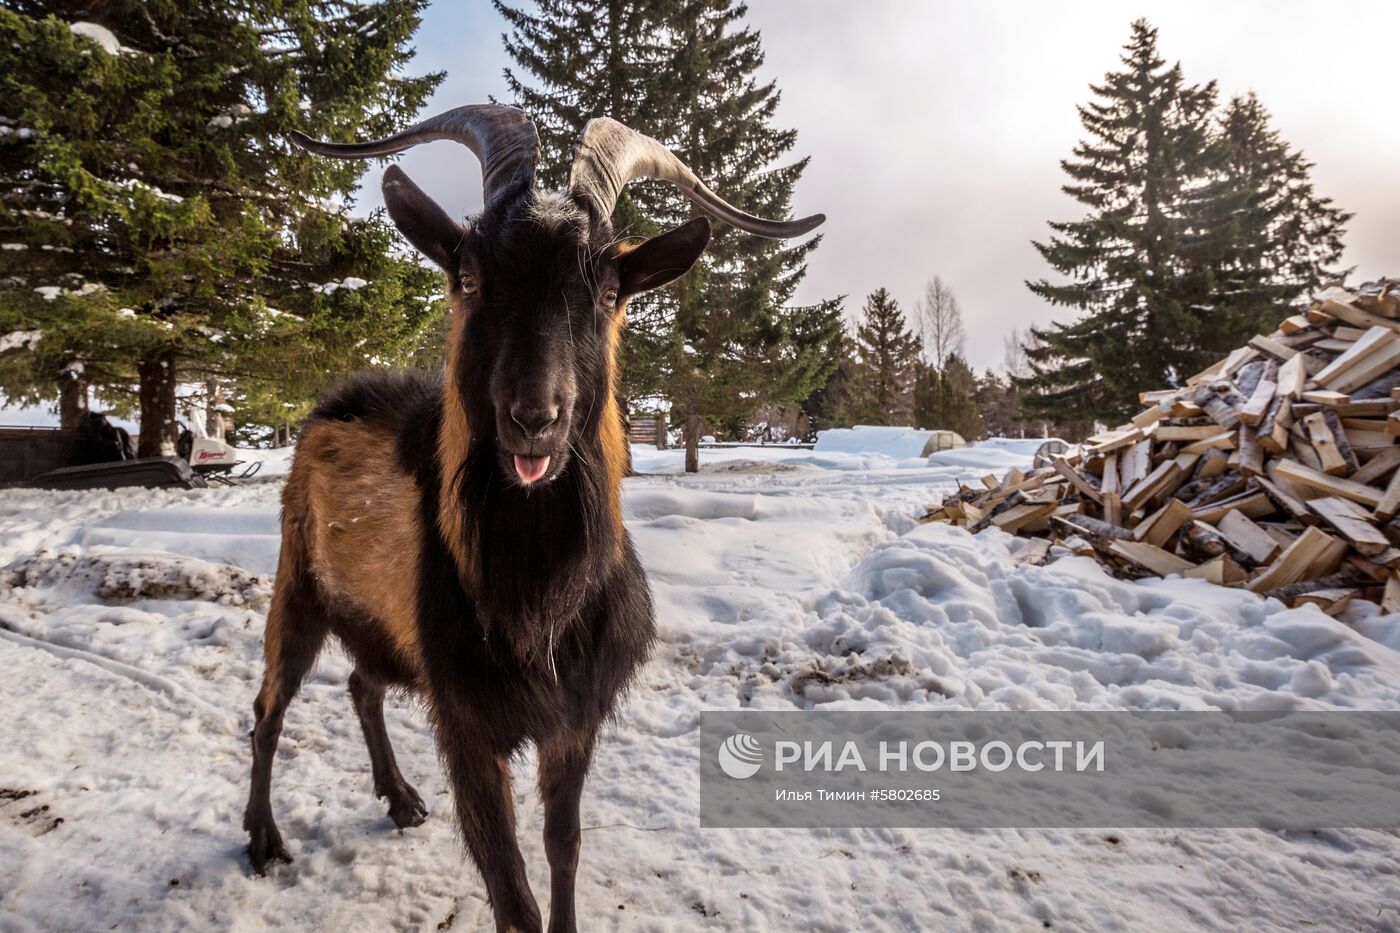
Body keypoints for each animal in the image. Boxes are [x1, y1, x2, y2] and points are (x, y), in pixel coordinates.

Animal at [242, 105, 823, 924]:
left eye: (608, 290)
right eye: (470, 274)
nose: (533, 420)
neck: (538, 597)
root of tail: (331, 403)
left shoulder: (572, 718)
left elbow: (563, 847)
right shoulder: (466, 719)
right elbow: (508, 882)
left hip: (381, 623)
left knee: (362, 685)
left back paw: (400, 798)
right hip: (298, 586)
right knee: (268, 708)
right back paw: (263, 838)